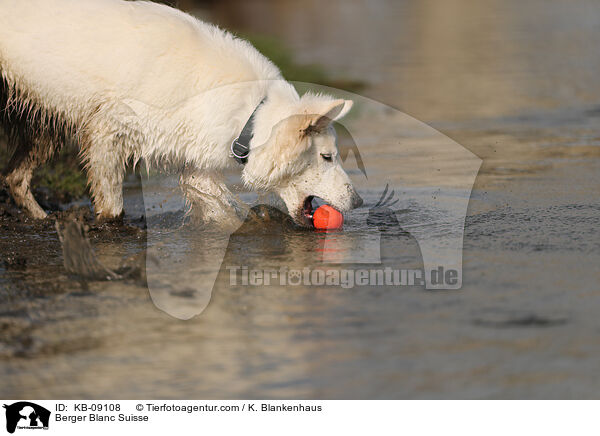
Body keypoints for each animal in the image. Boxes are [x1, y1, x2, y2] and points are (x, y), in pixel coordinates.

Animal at [0, 0, 360, 225]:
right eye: (328, 157)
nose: (358, 202)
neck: (251, 115)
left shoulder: (196, 166)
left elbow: (224, 212)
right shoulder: (108, 135)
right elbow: (112, 206)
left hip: (45, 127)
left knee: (14, 178)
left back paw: (41, 219)